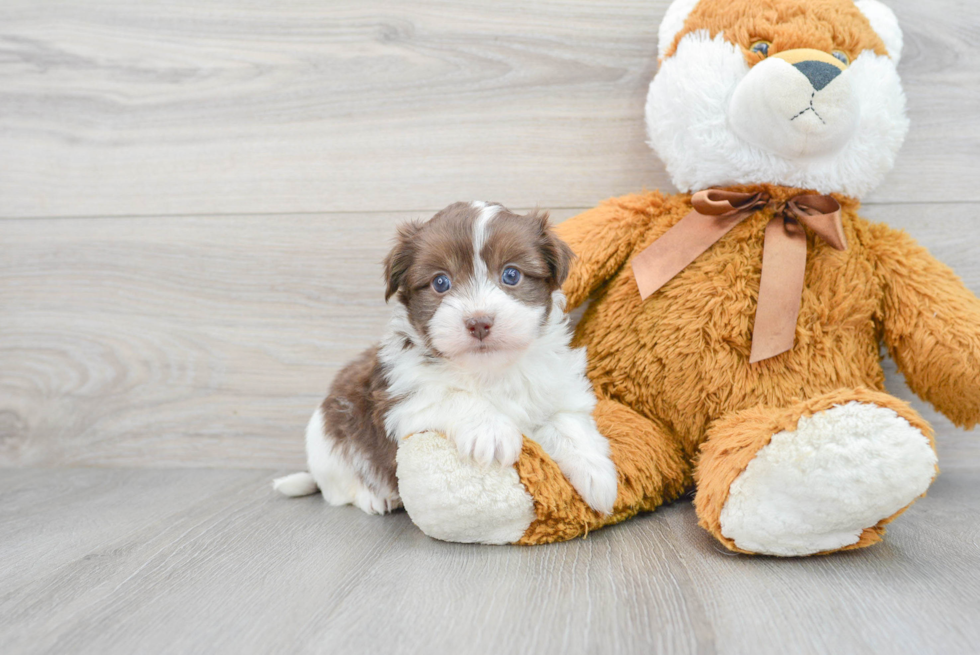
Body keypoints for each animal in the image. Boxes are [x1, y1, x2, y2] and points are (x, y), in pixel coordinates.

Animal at [272, 202, 616, 516]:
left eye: (511, 275)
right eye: (440, 282)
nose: (479, 323)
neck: (489, 370)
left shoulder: (559, 388)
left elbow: (569, 423)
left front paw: (597, 473)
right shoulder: (402, 398)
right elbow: (451, 395)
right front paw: (490, 430)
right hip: (326, 438)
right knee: (338, 487)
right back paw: (374, 498)